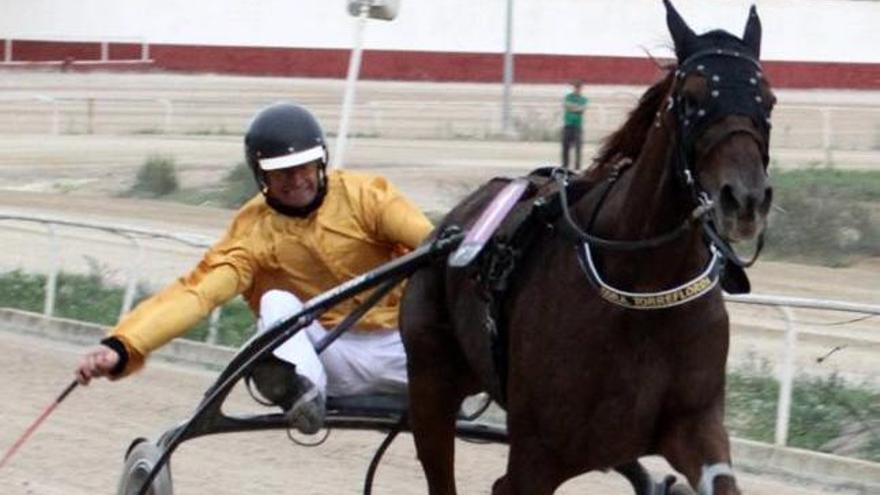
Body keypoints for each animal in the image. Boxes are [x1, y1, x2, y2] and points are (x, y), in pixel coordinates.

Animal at [398, 0, 776, 495]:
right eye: (692, 98)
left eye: (767, 100)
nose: (745, 199)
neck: (643, 290)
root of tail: (451, 226)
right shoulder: (537, 454)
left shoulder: (694, 425)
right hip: (430, 380)